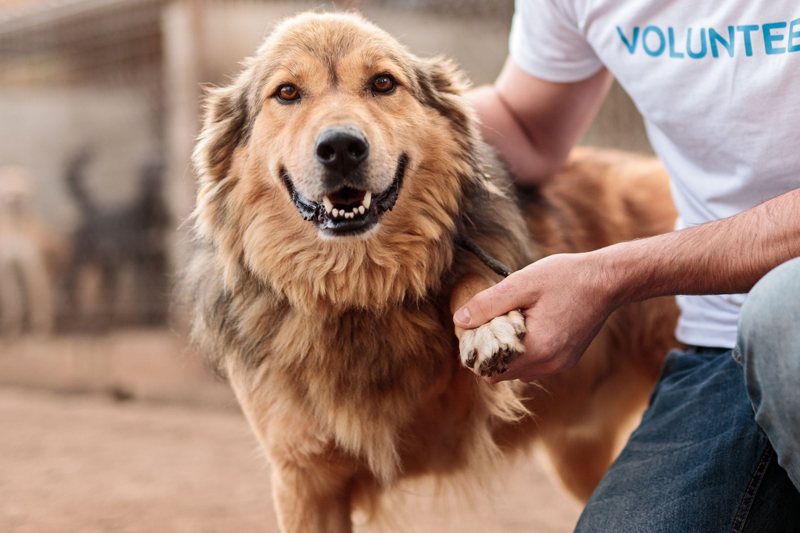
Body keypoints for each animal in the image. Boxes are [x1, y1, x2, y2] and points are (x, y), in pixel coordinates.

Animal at [65, 150, 170, 330]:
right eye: (147, 171)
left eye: (161, 168)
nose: (158, 182)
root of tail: (91, 206)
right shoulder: (140, 261)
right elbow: (144, 290)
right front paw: (147, 320)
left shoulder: (158, 259)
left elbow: (157, 288)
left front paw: (158, 319)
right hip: (82, 258)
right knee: (70, 284)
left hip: (107, 265)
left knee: (107, 293)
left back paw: (105, 318)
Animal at [186, 12, 676, 532]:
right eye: (286, 92)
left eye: (383, 83)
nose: (341, 147)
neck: (360, 293)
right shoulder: (304, 480)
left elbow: (469, 276)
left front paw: (486, 326)